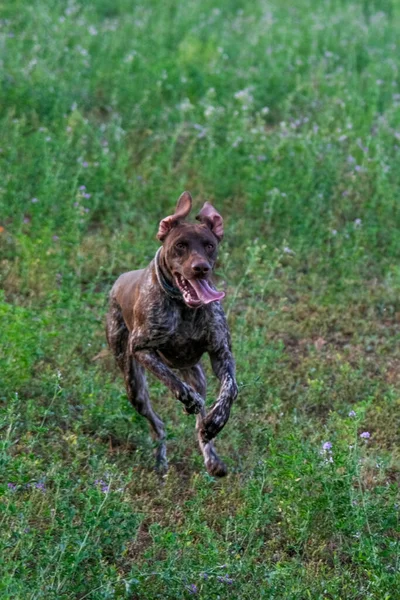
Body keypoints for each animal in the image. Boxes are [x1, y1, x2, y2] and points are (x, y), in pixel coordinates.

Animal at [105, 190, 238, 476]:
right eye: (180, 245)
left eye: (209, 245)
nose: (201, 267)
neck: (185, 308)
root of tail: (119, 280)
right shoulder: (142, 350)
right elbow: (173, 381)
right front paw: (188, 399)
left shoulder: (221, 353)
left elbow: (230, 389)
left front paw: (217, 421)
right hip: (134, 384)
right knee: (159, 425)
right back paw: (161, 460)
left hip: (196, 373)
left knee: (199, 421)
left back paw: (211, 455)